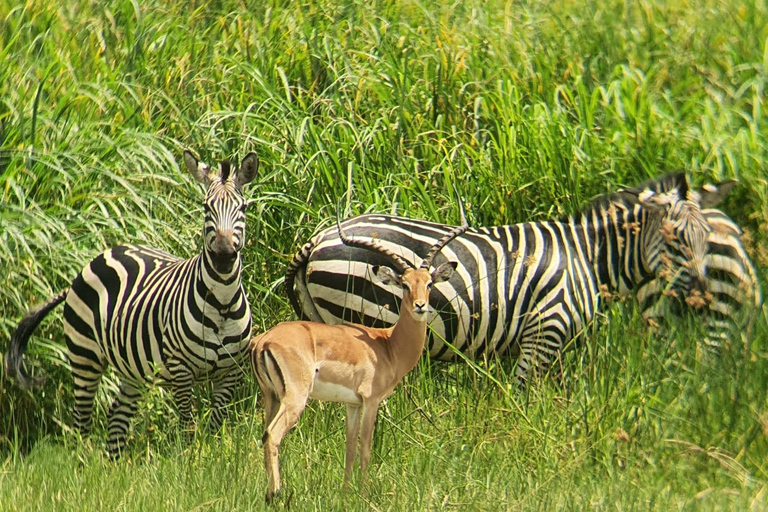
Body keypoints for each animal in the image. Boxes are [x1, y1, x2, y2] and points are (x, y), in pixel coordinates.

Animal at [3, 149, 260, 456]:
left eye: (243, 208)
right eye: (205, 208)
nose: (222, 256)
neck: (221, 303)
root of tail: (96, 259)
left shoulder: (231, 372)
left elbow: (213, 427)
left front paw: (208, 458)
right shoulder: (181, 370)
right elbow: (187, 428)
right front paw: (190, 463)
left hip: (132, 367)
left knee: (117, 413)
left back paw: (114, 463)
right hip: (85, 356)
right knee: (81, 421)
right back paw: (85, 464)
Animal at [250, 219, 468, 500]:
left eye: (429, 283)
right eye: (404, 284)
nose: (420, 306)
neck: (388, 346)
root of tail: (264, 340)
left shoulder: (352, 404)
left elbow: (350, 448)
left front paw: (345, 493)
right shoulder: (371, 400)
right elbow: (366, 447)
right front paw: (365, 494)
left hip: (271, 397)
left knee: (264, 434)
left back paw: (268, 494)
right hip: (295, 398)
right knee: (273, 435)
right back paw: (276, 494)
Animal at [286, 174, 736, 382]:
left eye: (706, 238)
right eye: (674, 239)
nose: (704, 299)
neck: (588, 258)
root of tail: (318, 239)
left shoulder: (541, 345)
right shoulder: (545, 333)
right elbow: (524, 405)